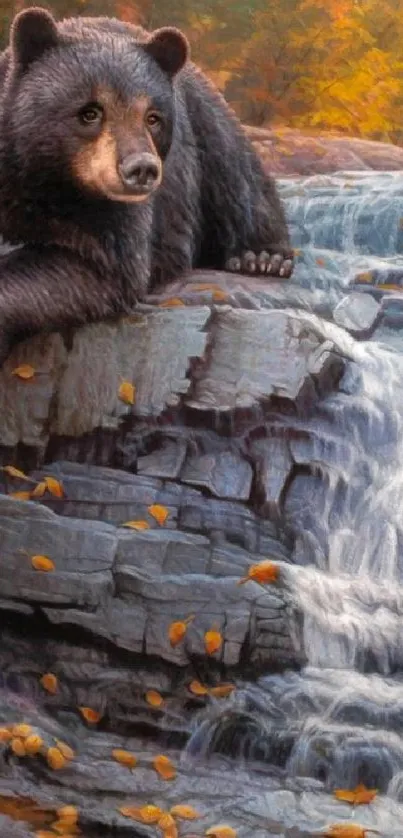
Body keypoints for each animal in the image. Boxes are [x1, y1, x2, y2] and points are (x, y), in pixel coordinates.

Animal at [0, 6, 294, 362]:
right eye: (90, 112)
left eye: (153, 117)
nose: (141, 168)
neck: (45, 177)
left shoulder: (118, 216)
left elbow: (99, 266)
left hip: (206, 129)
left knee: (238, 180)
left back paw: (264, 257)